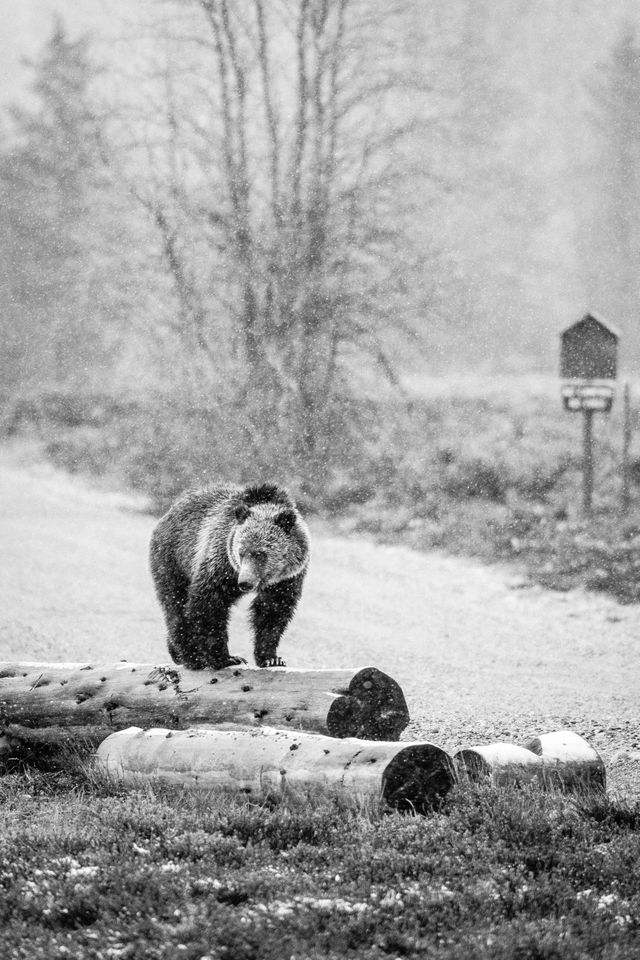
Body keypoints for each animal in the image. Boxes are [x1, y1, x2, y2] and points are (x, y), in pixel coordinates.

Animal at [150, 484, 310, 672]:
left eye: (260, 554)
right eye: (241, 552)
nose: (244, 582)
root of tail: (169, 512)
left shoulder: (287, 579)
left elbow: (272, 612)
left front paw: (271, 658)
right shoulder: (220, 563)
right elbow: (209, 605)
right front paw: (224, 658)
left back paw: (175, 652)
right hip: (174, 561)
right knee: (176, 605)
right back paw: (191, 656)